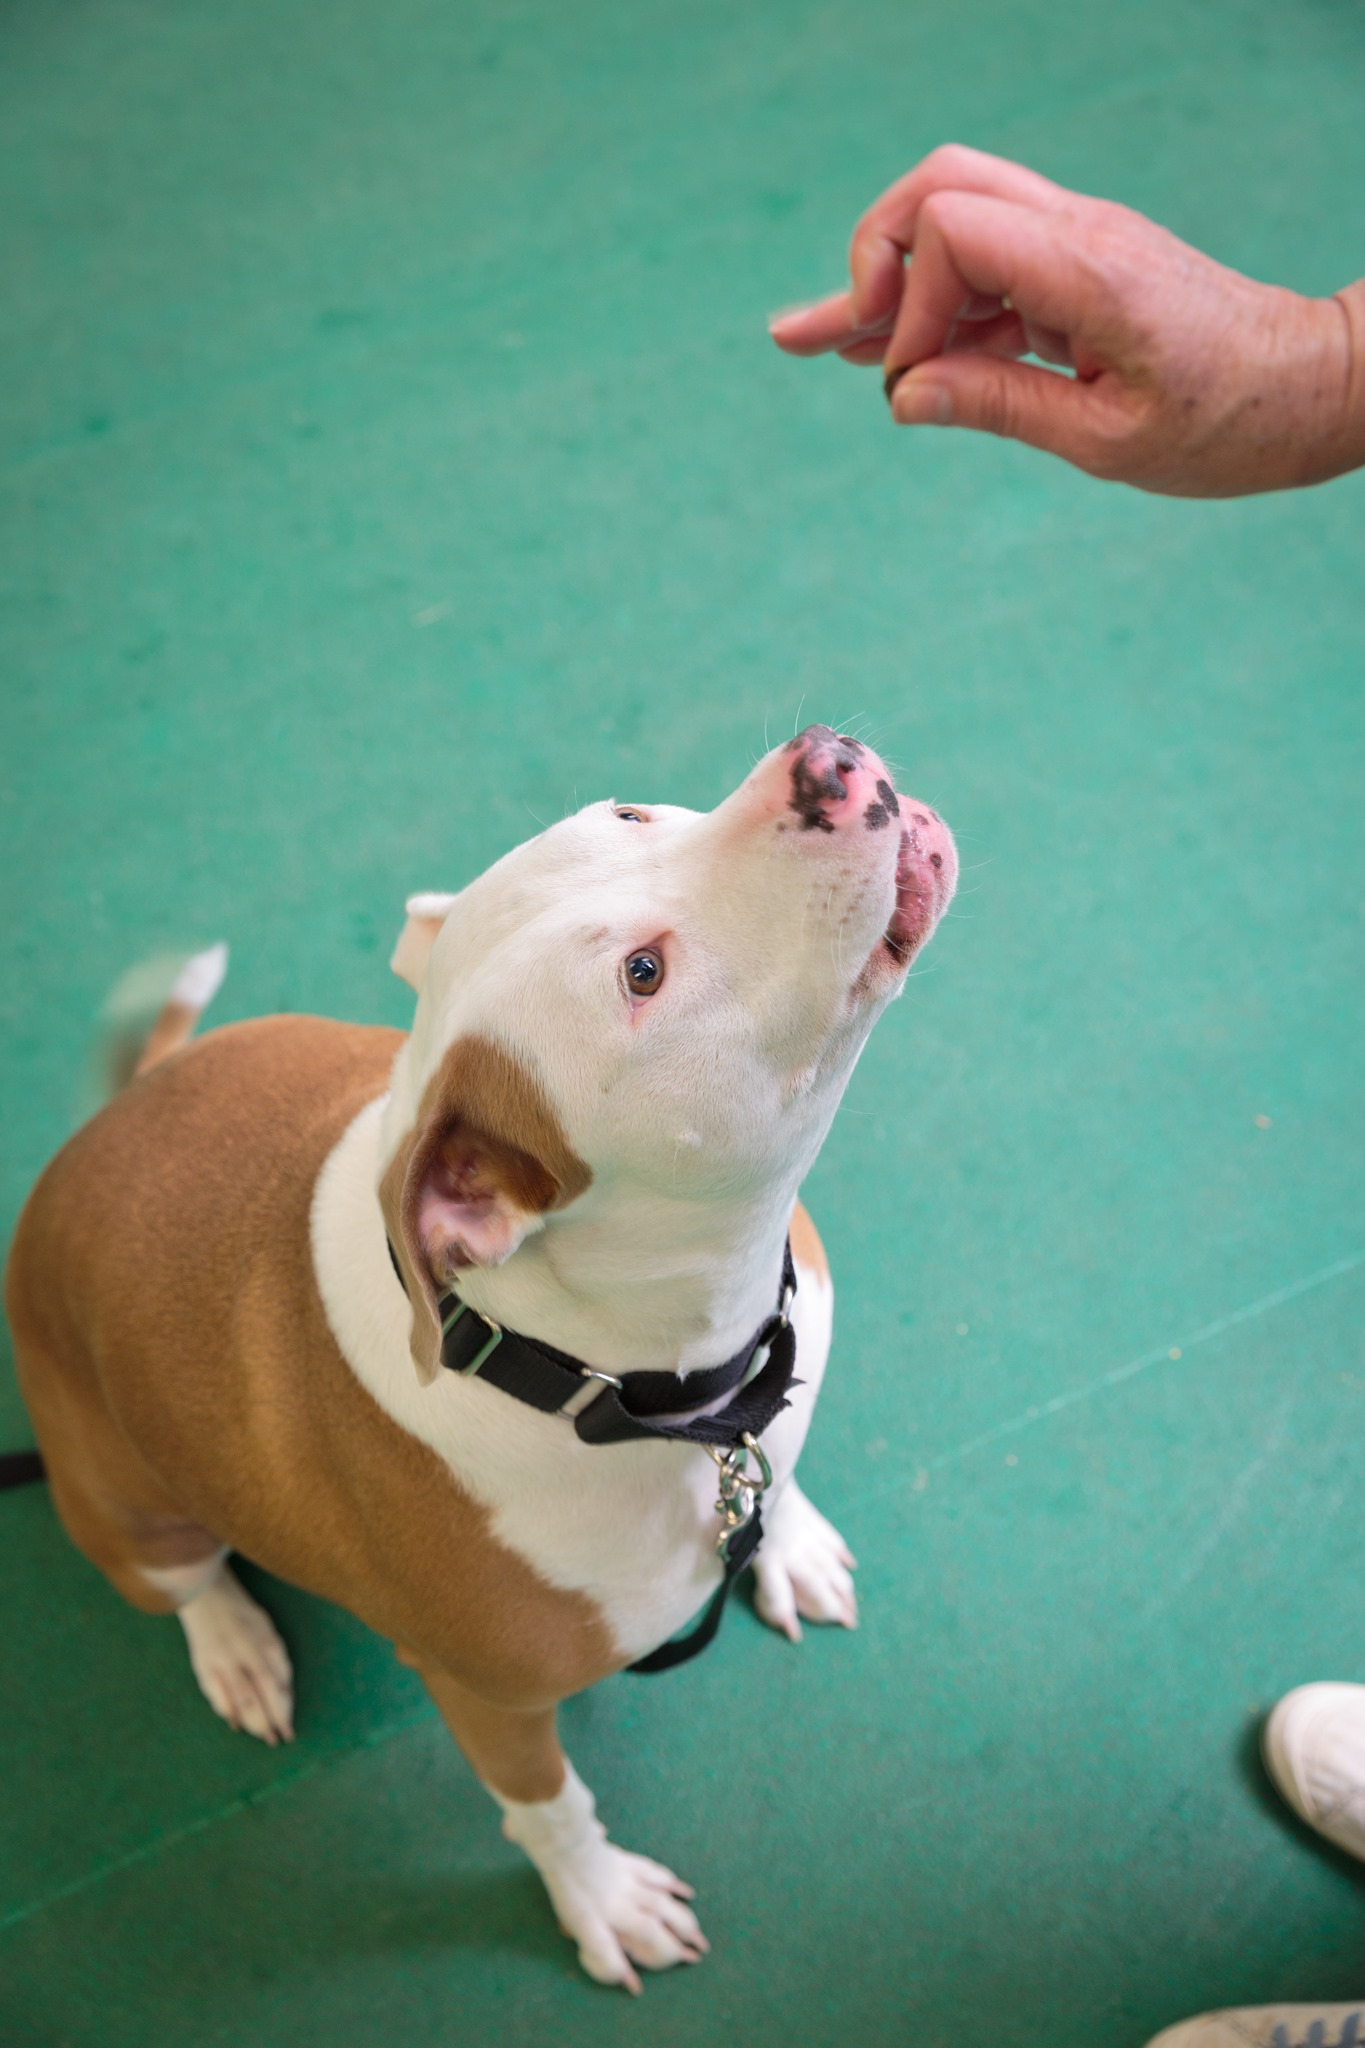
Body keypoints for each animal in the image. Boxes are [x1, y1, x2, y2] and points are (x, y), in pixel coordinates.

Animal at [5, 729, 957, 1990]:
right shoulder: (487, 1699)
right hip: (127, 1512)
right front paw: (600, 1895)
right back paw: (235, 1642)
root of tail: (89, 1139)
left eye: (631, 812)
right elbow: (549, 1807)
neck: (613, 1380)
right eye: (642, 975)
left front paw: (787, 1537)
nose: (825, 762)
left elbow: (783, 1459)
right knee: (186, 1577)